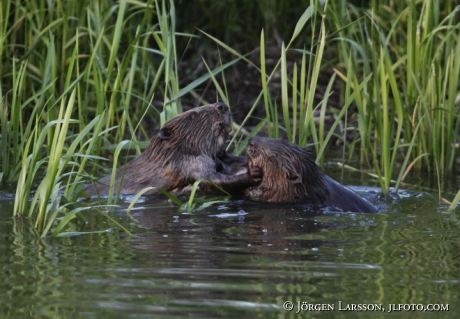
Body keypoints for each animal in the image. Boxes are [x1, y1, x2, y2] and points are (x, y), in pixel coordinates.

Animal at [84, 102, 260, 198]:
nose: (222, 105)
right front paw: (253, 174)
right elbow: (211, 181)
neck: (170, 154)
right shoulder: (188, 164)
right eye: (193, 115)